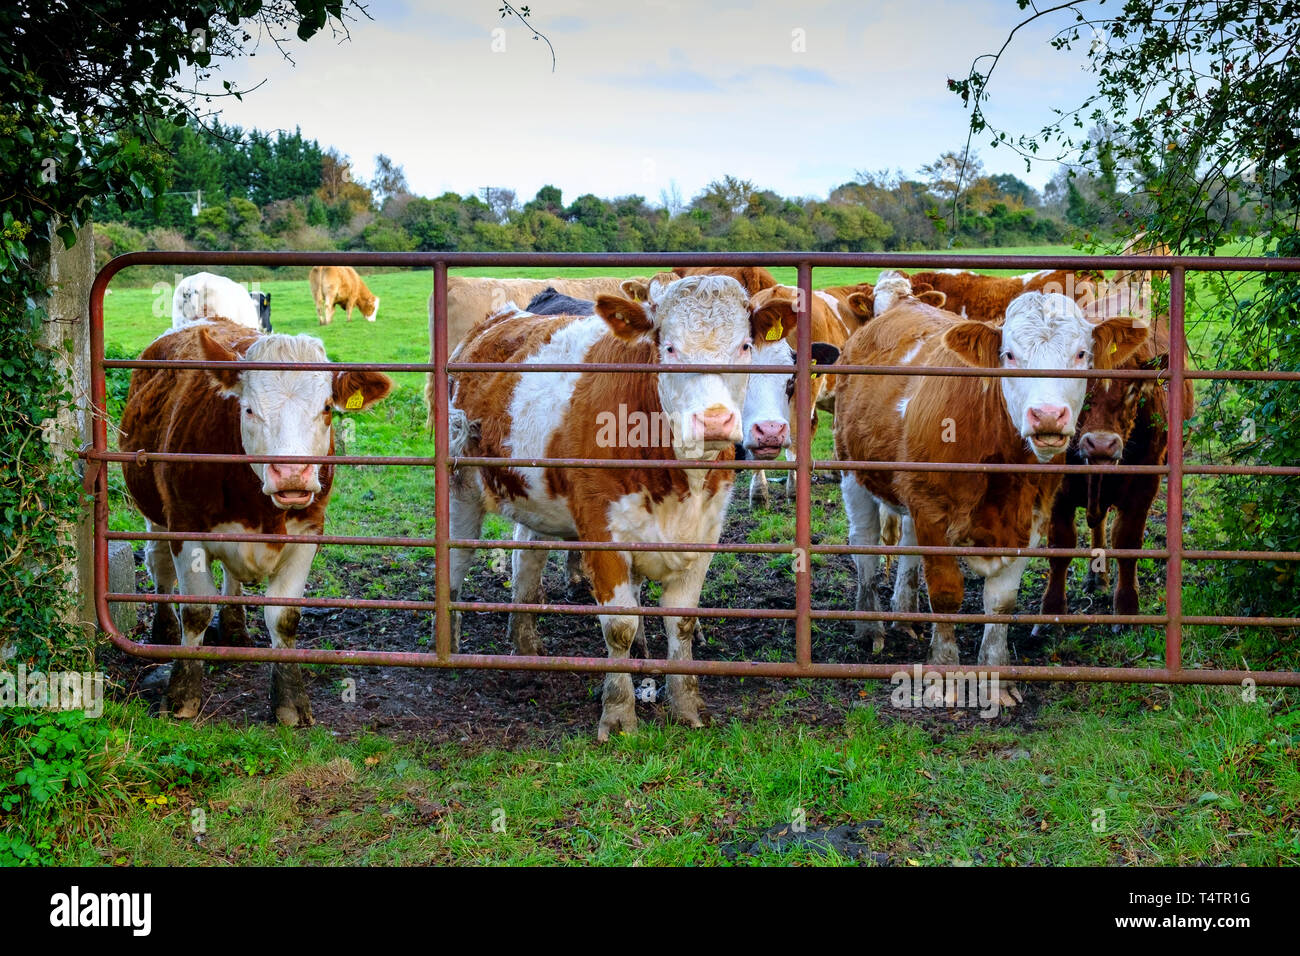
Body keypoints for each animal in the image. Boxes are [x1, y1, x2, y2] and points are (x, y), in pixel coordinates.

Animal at [120, 320, 392, 725]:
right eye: (248, 410)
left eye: (327, 408)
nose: (293, 474)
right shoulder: (185, 525)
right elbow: (196, 610)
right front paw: (182, 694)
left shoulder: (309, 532)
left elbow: (284, 616)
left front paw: (290, 701)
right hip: (155, 514)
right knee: (160, 566)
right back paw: (164, 628)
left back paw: (235, 626)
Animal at [444, 273, 785, 739]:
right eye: (669, 347)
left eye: (745, 346)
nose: (714, 420)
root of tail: (499, 318)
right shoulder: (601, 532)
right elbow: (621, 627)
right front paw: (620, 714)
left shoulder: (705, 533)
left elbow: (682, 624)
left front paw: (687, 707)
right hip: (460, 485)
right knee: (456, 561)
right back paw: (450, 646)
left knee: (526, 559)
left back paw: (526, 644)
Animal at [834, 272, 1149, 706]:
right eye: (1009, 355)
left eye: (1082, 353)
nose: (1047, 415)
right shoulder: (932, 511)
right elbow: (945, 593)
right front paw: (944, 676)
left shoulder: (1030, 517)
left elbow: (1001, 603)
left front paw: (995, 679)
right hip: (853, 469)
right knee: (863, 542)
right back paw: (870, 628)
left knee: (907, 545)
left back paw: (905, 615)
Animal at [1038, 310, 1193, 622]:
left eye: (1132, 390)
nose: (1101, 444)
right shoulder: (1059, 490)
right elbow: (1061, 544)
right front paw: (1052, 610)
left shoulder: (1143, 487)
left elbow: (1127, 541)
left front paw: (1127, 606)